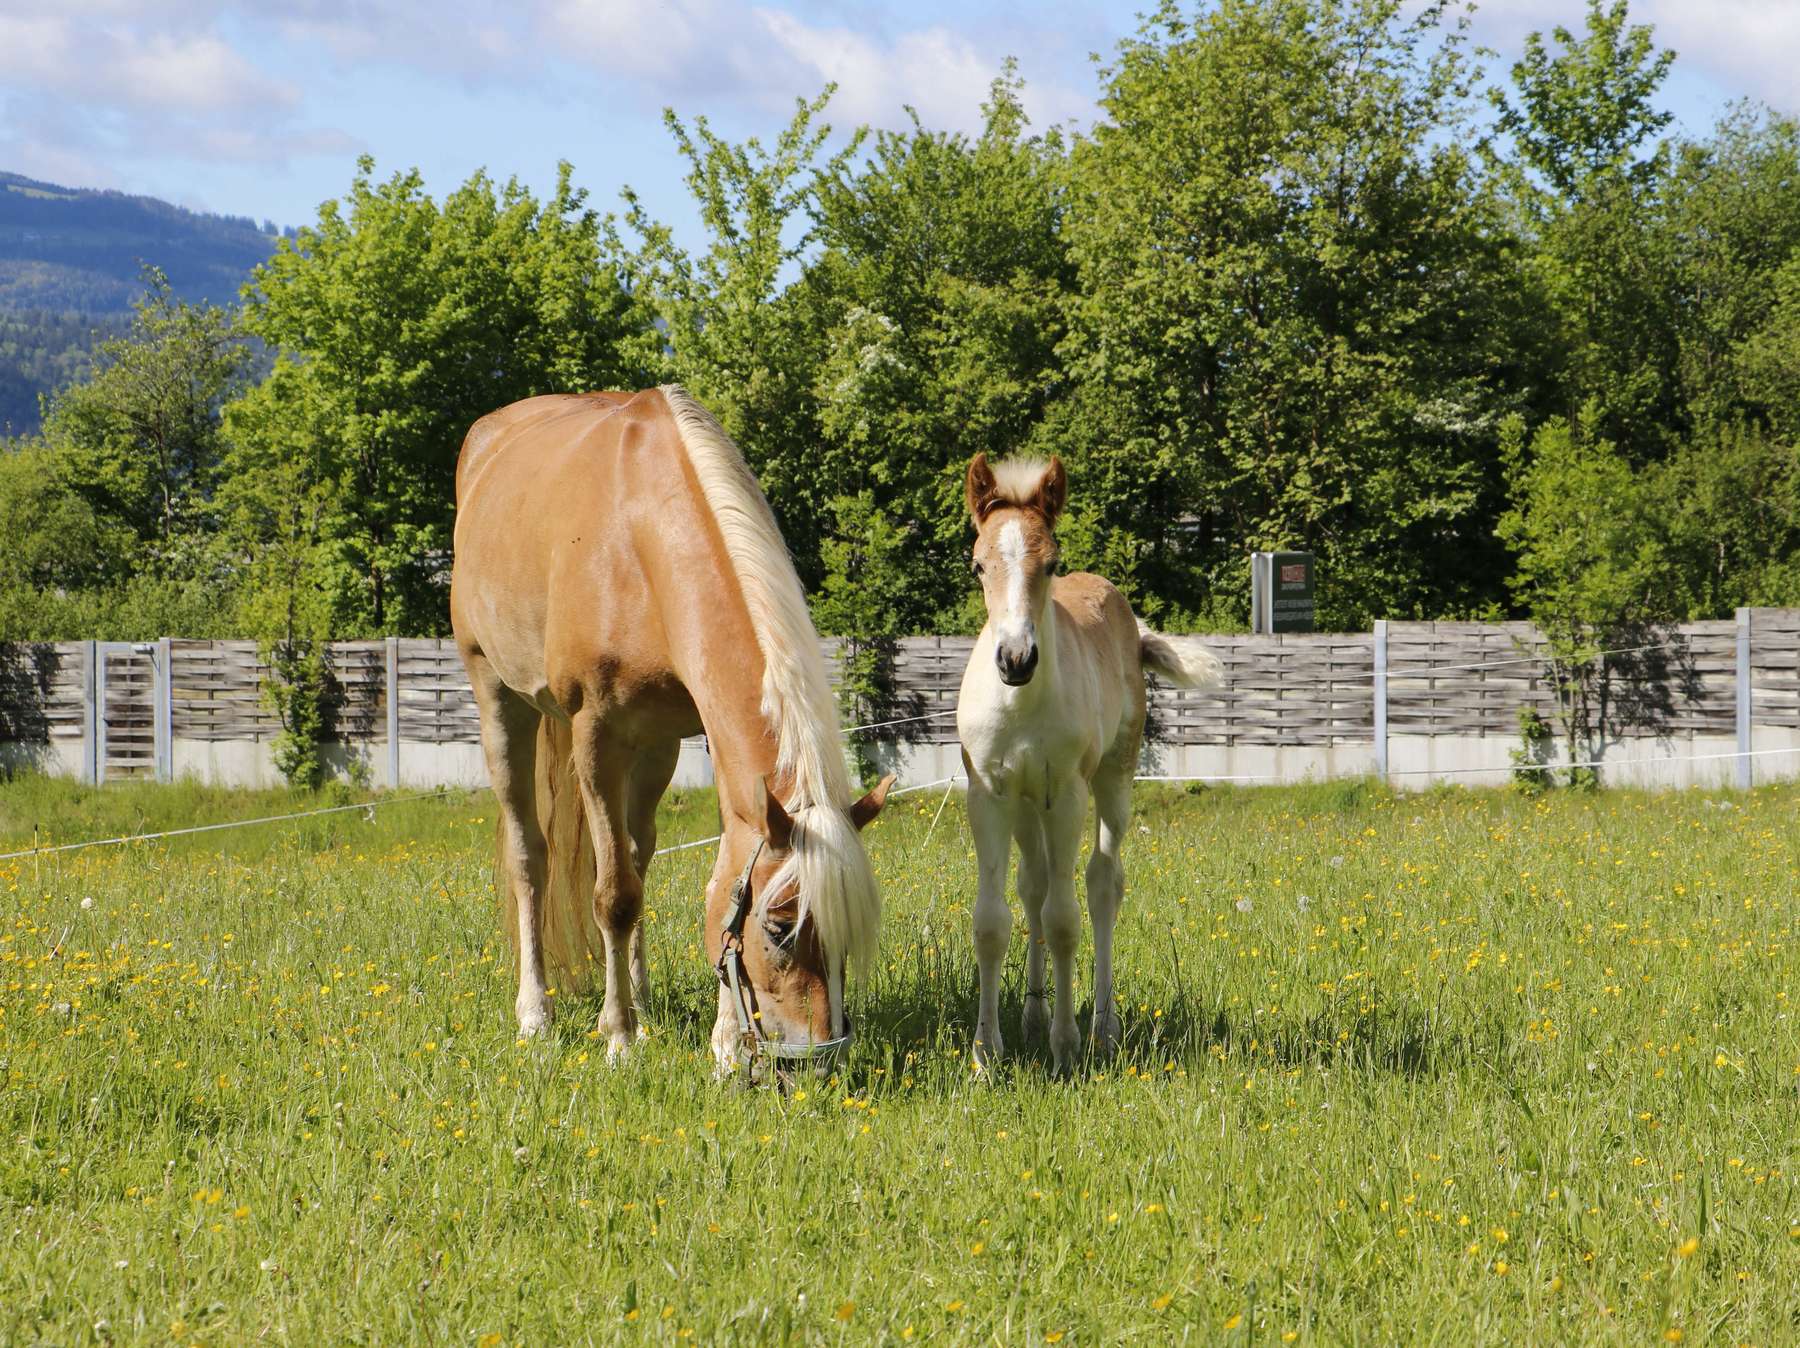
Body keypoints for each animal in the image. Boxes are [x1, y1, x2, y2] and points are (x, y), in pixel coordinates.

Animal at [453, 381, 889, 1072]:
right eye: (778, 928)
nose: (820, 1058)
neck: (639, 539)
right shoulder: (595, 737)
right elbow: (613, 895)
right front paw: (619, 1039)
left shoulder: (694, 738)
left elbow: (712, 878)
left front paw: (724, 1042)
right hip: (498, 698)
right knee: (533, 859)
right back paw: (538, 1014)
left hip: (654, 748)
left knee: (637, 853)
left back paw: (641, 998)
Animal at [957, 455, 1224, 1072]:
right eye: (978, 566)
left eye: (1052, 564)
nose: (1015, 660)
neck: (1022, 705)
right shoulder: (990, 795)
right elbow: (992, 921)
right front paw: (986, 1053)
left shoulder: (1067, 795)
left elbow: (1064, 919)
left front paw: (1066, 1045)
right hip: (1028, 808)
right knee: (1032, 886)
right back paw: (1032, 1016)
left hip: (1111, 779)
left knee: (1103, 884)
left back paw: (1103, 1025)